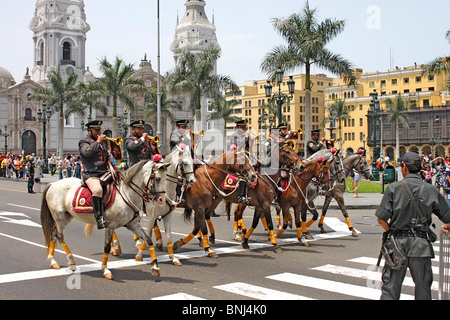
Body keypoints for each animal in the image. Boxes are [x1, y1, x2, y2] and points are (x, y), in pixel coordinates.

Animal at [40, 160, 170, 280]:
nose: (161, 200)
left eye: (165, 178)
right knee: (59, 236)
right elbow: (106, 247)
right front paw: (105, 270)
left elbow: (148, 240)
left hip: (66, 217)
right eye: (157, 178)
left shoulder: (132, 225)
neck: (126, 193)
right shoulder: (110, 226)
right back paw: (71, 262)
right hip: (60, 218)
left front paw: (155, 266)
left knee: (53, 235)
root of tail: (52, 184)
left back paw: (53, 261)